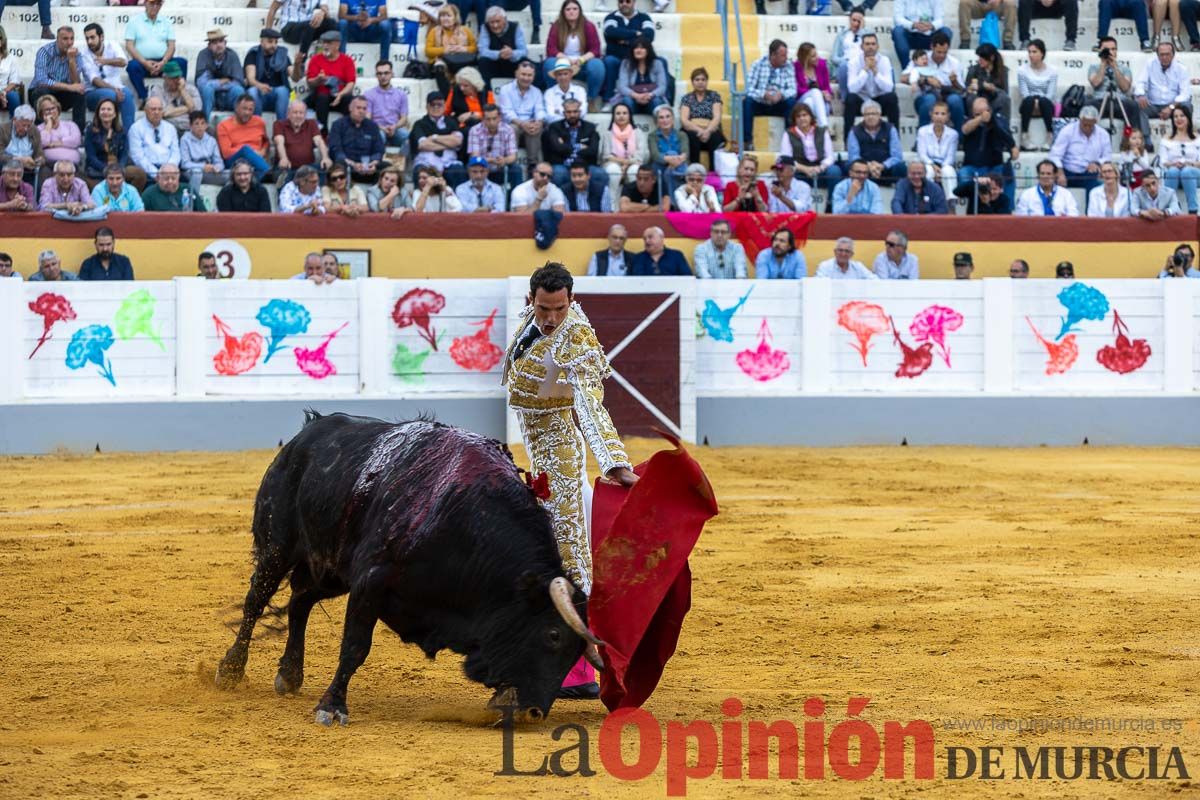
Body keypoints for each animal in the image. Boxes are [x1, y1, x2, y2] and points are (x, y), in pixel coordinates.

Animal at [216, 412, 604, 724]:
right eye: (553, 635)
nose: (533, 712)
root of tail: (307, 432)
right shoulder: (371, 581)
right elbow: (355, 646)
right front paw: (332, 707)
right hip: (278, 546)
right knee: (256, 600)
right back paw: (231, 669)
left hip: (331, 569)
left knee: (300, 602)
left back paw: (290, 673)